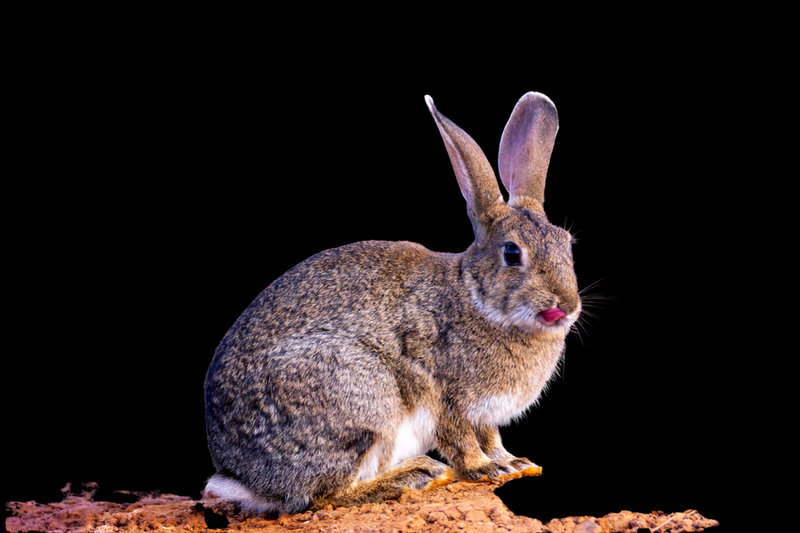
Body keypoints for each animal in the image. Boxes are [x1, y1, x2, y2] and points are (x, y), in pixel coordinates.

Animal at [204, 91, 581, 515]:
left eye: (568, 245)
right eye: (513, 254)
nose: (567, 305)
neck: (475, 297)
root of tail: (248, 479)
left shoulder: (484, 414)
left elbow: (490, 436)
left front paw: (513, 463)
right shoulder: (443, 393)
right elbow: (460, 439)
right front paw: (486, 469)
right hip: (361, 393)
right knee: (322, 496)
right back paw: (417, 474)